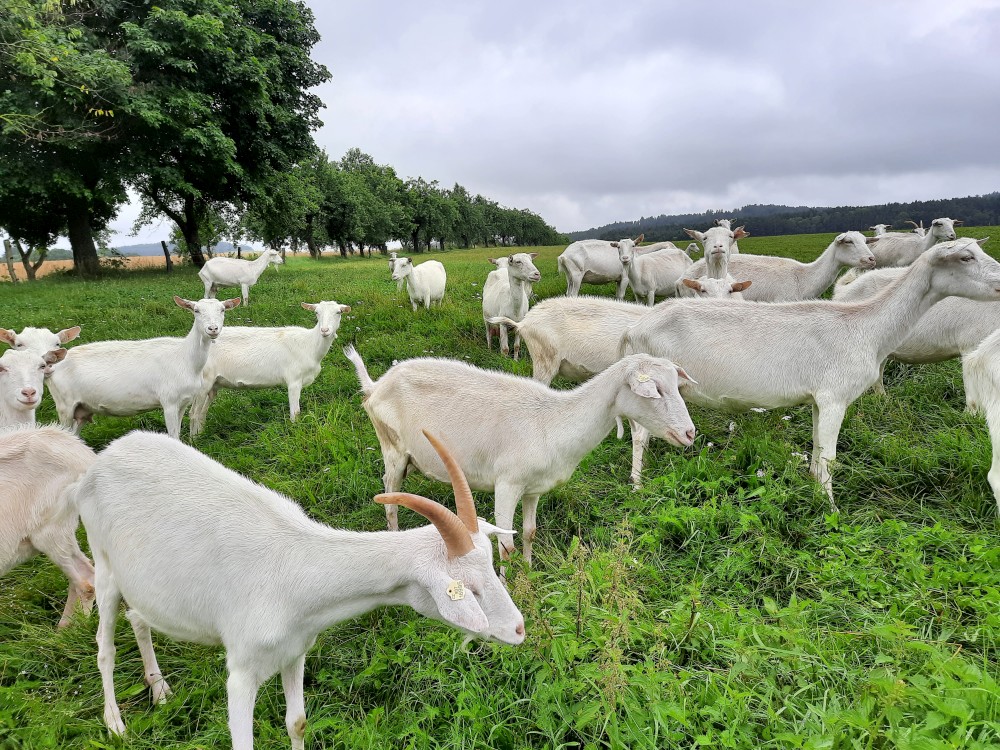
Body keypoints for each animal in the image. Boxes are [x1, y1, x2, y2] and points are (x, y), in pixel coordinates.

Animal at [46, 297, 240, 439]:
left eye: (222, 310)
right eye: (196, 310)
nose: (213, 329)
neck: (185, 359)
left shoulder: (183, 402)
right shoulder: (169, 401)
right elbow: (173, 436)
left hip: (81, 409)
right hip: (64, 405)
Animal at [74, 429, 524, 749]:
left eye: (491, 564)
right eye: (467, 588)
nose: (519, 630)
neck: (297, 565)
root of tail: (104, 456)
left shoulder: (294, 650)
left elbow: (298, 723)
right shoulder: (241, 673)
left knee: (139, 617)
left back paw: (159, 688)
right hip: (103, 565)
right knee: (104, 647)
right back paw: (115, 723)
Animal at [188, 301, 351, 437]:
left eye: (338, 312)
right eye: (317, 312)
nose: (324, 330)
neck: (309, 344)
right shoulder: (294, 380)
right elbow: (295, 413)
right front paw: (295, 433)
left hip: (213, 384)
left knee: (202, 412)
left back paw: (201, 434)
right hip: (203, 381)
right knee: (193, 413)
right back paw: (195, 440)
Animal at [344, 344, 696, 565]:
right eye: (656, 391)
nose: (690, 434)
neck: (554, 421)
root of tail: (374, 386)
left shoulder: (533, 488)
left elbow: (529, 533)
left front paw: (527, 568)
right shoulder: (507, 484)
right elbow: (506, 544)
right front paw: (513, 587)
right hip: (392, 447)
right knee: (389, 499)